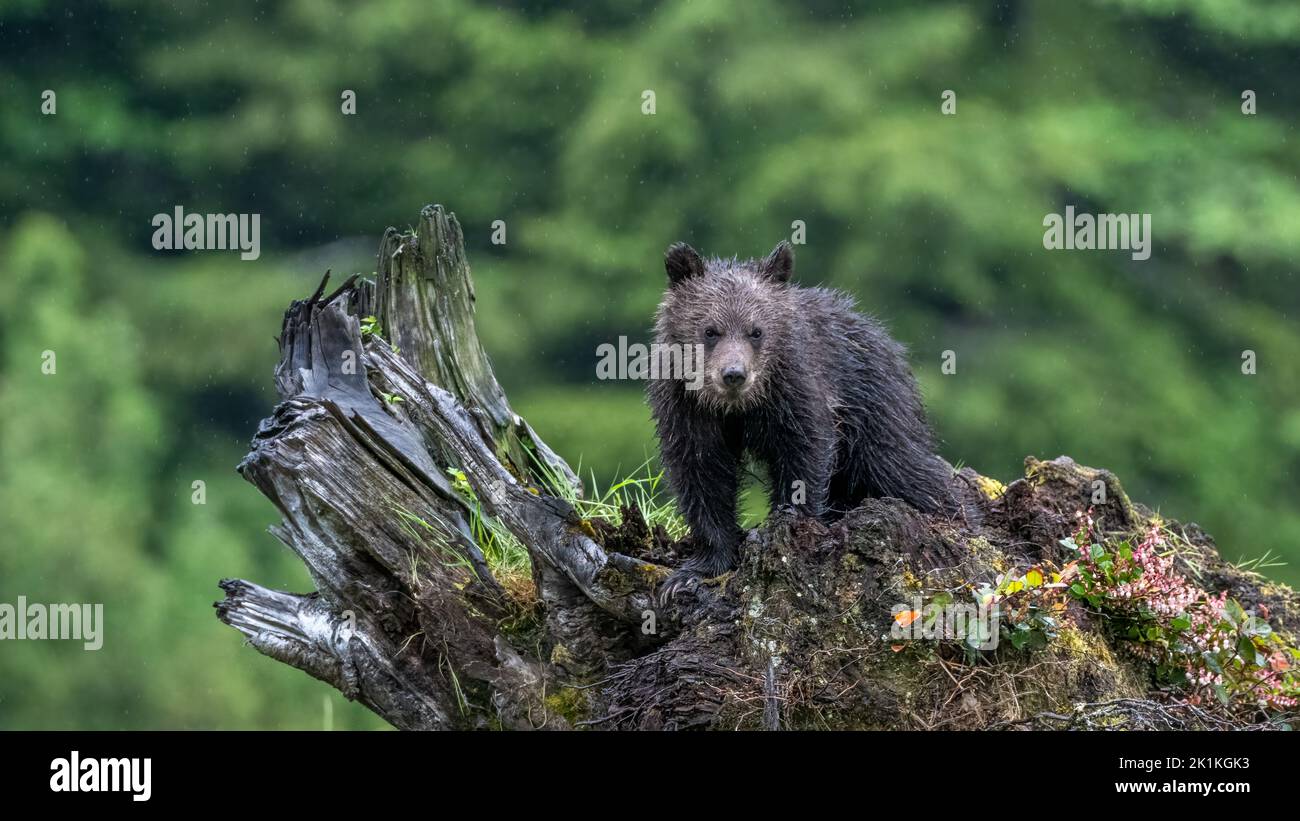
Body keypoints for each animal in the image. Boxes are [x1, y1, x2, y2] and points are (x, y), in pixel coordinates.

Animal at [649, 240, 961, 600]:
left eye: (756, 331)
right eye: (710, 330)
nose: (734, 374)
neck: (738, 409)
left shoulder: (797, 391)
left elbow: (803, 453)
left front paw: (787, 523)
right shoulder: (687, 407)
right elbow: (702, 473)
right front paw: (692, 573)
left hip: (873, 405)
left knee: (902, 467)